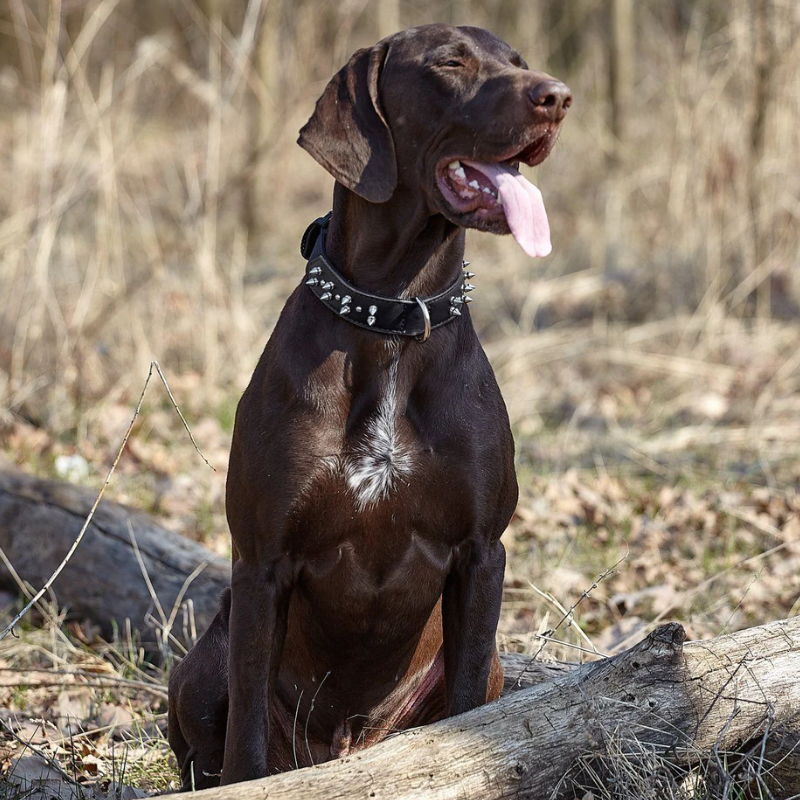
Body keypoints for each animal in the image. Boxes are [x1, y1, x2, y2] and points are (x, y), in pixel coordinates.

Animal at [169, 25, 568, 788]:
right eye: (450, 62)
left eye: (520, 61)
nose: (558, 97)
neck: (393, 319)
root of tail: (349, 746)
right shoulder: (261, 562)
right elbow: (245, 747)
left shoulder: (482, 554)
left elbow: (468, 708)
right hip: (203, 660)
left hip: (492, 665)